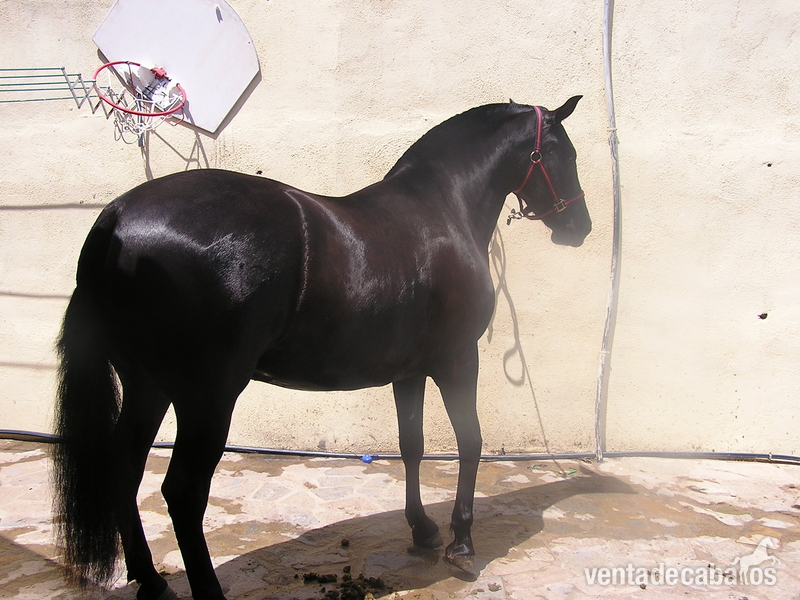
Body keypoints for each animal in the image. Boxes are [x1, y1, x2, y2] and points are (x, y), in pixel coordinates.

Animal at [52, 96, 591, 600]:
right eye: (564, 152)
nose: (580, 226)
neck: (442, 208)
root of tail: (117, 217)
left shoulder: (409, 370)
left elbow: (412, 446)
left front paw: (422, 530)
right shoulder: (458, 359)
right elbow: (471, 441)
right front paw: (462, 544)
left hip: (148, 387)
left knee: (125, 466)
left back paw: (150, 579)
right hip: (207, 398)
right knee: (183, 490)